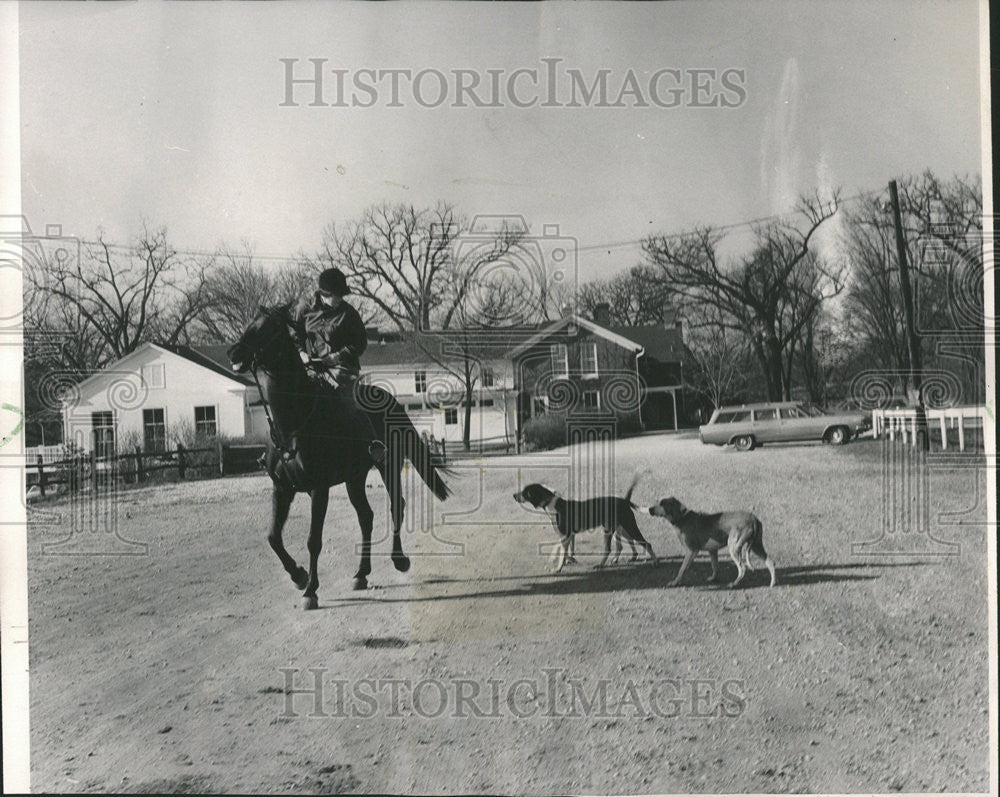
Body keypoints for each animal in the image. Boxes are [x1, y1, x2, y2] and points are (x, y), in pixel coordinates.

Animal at [227, 304, 454, 608]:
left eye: (269, 327)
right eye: (251, 322)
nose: (234, 353)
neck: (294, 422)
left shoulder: (319, 489)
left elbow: (313, 540)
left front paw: (311, 590)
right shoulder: (282, 488)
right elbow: (273, 537)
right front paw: (298, 575)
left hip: (389, 466)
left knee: (397, 506)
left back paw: (399, 560)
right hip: (354, 478)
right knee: (366, 517)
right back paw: (361, 573)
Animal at [512, 478, 660, 572]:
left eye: (526, 492)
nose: (514, 495)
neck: (551, 504)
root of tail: (624, 501)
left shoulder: (565, 535)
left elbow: (562, 554)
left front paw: (558, 568)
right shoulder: (568, 536)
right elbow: (567, 552)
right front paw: (569, 561)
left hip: (623, 528)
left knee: (641, 544)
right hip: (622, 529)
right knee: (623, 546)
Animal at [644, 494, 776, 588]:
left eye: (662, 503)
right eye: (657, 501)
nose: (650, 509)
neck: (682, 517)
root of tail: (754, 519)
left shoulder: (691, 551)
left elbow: (682, 569)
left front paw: (675, 582)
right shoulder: (712, 551)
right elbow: (715, 566)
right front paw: (713, 578)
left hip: (734, 548)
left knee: (742, 568)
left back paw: (733, 584)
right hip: (756, 546)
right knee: (770, 562)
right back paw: (772, 583)